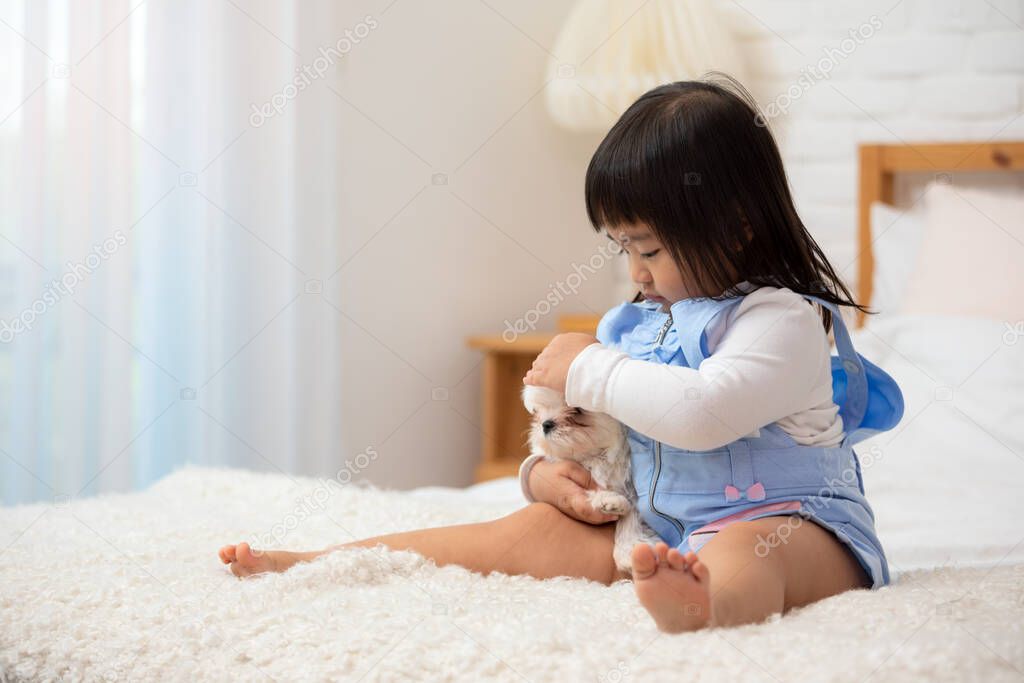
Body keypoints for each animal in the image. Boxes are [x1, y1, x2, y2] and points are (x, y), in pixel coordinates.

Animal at [520, 385, 655, 573]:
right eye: (539, 410)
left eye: (577, 410)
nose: (546, 424)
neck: (596, 456)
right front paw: (609, 500)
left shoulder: (632, 485)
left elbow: (632, 517)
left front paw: (628, 551)